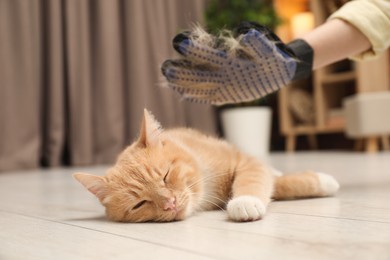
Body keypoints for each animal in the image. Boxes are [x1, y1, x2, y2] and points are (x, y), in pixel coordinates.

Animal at [72, 108, 338, 222]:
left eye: (166, 175)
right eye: (139, 204)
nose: (170, 204)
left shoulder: (244, 161)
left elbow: (260, 180)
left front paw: (245, 201)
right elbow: (274, 184)